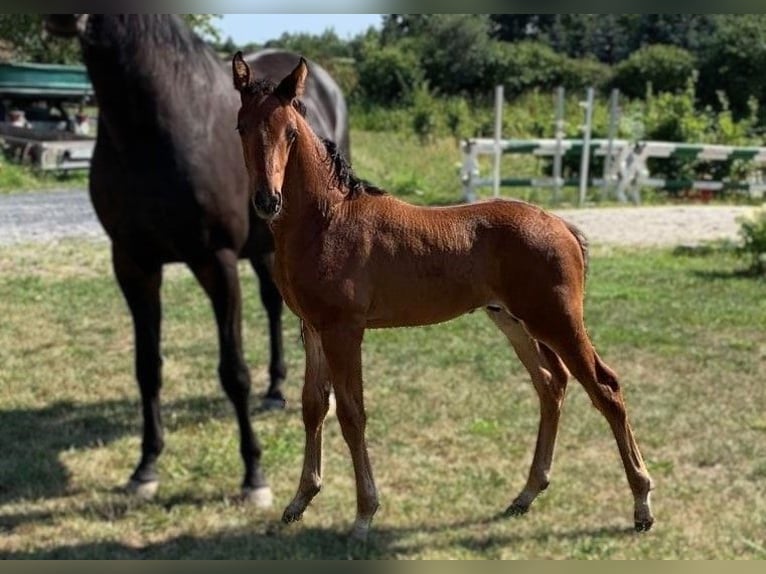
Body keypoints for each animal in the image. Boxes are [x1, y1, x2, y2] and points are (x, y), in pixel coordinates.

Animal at [43, 13, 350, 508]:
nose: (61, 16)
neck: (155, 127)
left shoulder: (215, 262)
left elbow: (233, 372)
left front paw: (254, 476)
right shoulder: (132, 263)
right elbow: (147, 366)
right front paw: (146, 466)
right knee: (273, 304)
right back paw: (275, 390)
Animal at [232, 56, 656, 544]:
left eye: (290, 133)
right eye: (241, 126)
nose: (267, 200)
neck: (328, 219)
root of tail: (562, 225)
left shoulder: (345, 330)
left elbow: (353, 414)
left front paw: (364, 515)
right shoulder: (313, 327)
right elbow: (313, 406)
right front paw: (299, 501)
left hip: (557, 321)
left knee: (605, 388)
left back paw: (642, 504)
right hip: (514, 321)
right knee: (552, 384)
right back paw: (526, 495)